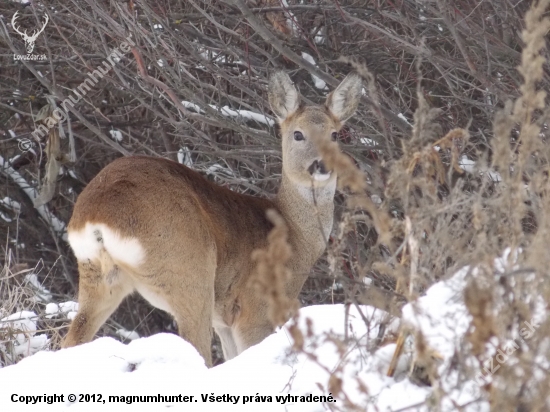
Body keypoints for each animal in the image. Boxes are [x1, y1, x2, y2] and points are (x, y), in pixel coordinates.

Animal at [63, 71, 362, 366]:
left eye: (335, 134)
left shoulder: (225, 321)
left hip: (98, 276)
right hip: (188, 269)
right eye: (298, 134)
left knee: (71, 339)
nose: (321, 164)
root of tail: (97, 216)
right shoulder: (255, 309)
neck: (293, 236)